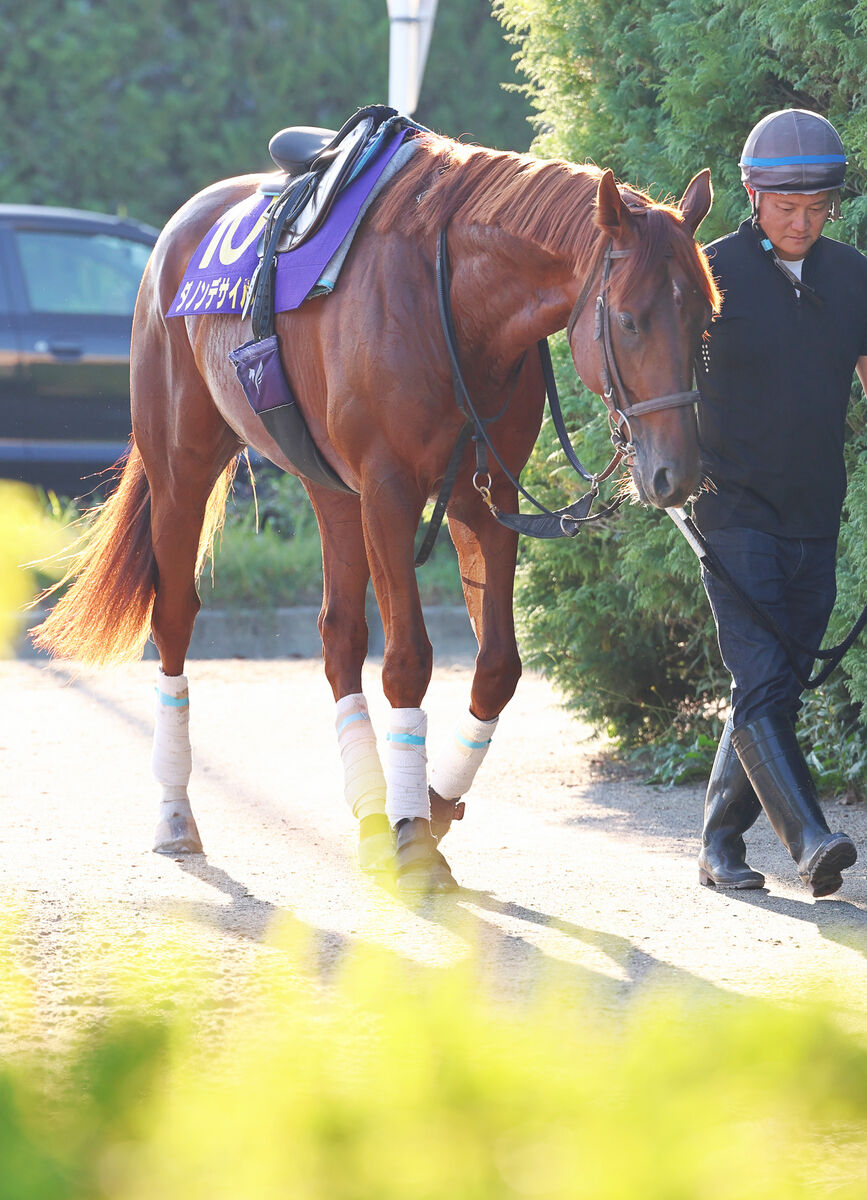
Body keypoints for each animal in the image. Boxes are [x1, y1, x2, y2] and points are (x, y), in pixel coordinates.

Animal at [32, 136, 715, 897]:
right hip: (183, 470)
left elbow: (497, 667)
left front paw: (432, 803)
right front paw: (414, 832)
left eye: (704, 319)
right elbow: (409, 660)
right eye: (628, 320)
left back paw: (368, 807)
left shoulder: (484, 503)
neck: (452, 304)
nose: (677, 471)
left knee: (338, 636)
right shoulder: (389, 493)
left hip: (332, 491)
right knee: (175, 617)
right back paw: (177, 813)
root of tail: (179, 229)